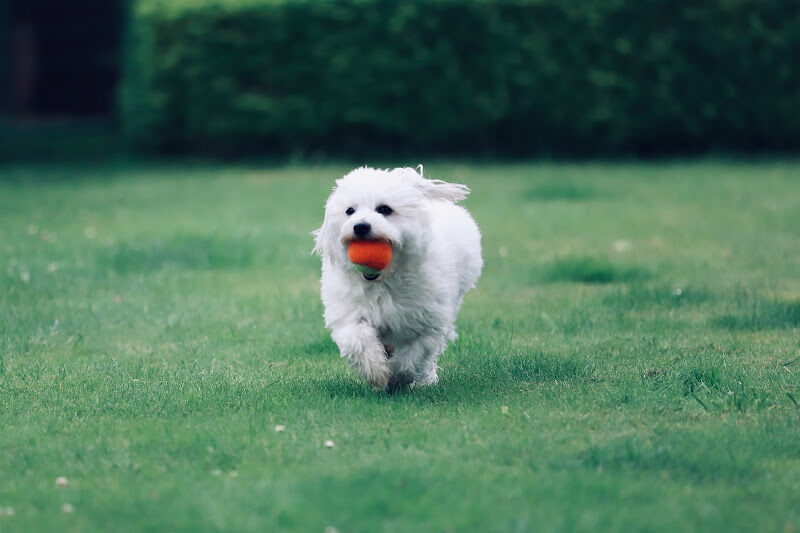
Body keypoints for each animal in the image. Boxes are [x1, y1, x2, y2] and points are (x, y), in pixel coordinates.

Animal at [312, 166, 482, 390]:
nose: (361, 226)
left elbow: (413, 355)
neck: (382, 282)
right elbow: (359, 342)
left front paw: (397, 378)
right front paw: (377, 373)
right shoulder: (350, 315)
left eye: (384, 209)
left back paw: (425, 379)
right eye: (350, 211)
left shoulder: (427, 323)